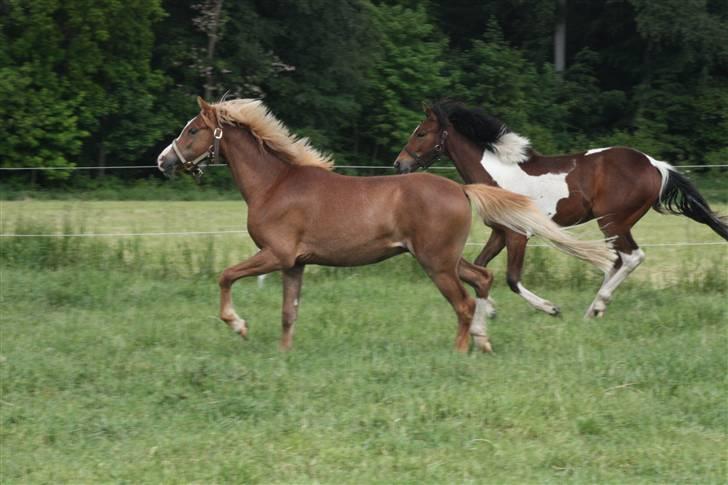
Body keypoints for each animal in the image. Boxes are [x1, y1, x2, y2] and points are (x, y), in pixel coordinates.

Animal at [159, 96, 616, 352]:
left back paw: (462, 351)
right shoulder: (294, 264)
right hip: (443, 258)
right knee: (482, 278)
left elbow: (225, 276)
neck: (275, 184)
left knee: (465, 303)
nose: (163, 161)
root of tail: (461, 189)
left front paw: (238, 326)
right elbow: (289, 312)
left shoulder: (274, 254)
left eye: (193, 130)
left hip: (435, 263)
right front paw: (283, 355)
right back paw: (484, 342)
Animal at [396, 100, 728, 316]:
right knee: (617, 261)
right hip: (614, 225)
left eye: (421, 133)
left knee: (631, 257)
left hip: (613, 221)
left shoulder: (518, 235)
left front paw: (550, 308)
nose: (400, 164)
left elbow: (512, 279)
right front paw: (487, 309)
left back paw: (597, 306)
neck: (497, 174)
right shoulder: (500, 233)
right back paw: (594, 308)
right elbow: (479, 266)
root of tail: (655, 165)